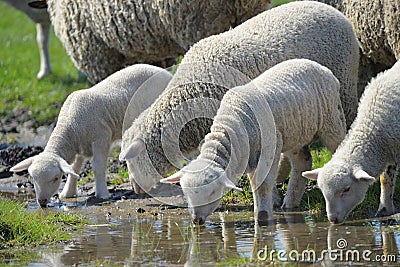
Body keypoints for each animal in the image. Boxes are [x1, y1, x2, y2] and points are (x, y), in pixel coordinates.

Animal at [9, 64, 172, 207]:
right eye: (32, 178)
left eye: (56, 178)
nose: (42, 202)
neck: (69, 126)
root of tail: (165, 72)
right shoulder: (79, 145)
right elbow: (74, 169)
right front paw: (68, 193)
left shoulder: (101, 137)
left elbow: (98, 166)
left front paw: (102, 194)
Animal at [159, 59, 346, 225]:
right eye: (185, 193)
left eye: (212, 193)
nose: (196, 221)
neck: (231, 123)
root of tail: (320, 67)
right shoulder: (249, 156)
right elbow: (253, 183)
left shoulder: (269, 149)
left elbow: (262, 186)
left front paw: (262, 218)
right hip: (295, 133)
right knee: (303, 162)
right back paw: (290, 203)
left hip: (332, 120)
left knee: (338, 146)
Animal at [304, 59, 400, 225]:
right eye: (322, 191)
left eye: (347, 189)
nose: (333, 219)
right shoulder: (390, 151)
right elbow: (386, 180)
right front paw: (384, 209)